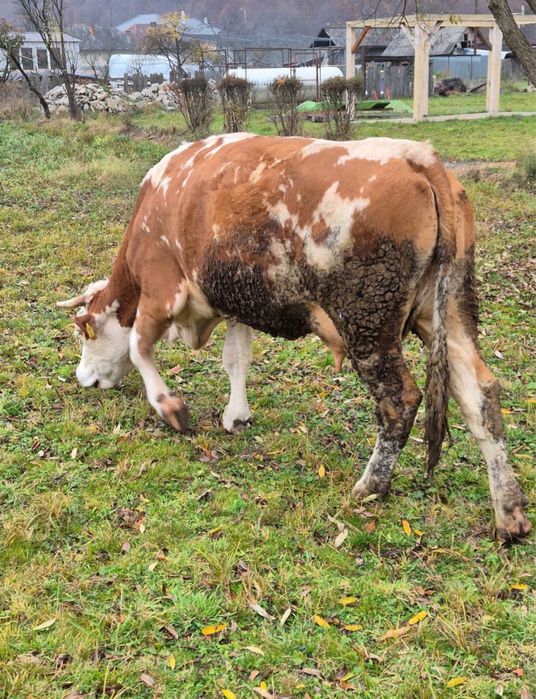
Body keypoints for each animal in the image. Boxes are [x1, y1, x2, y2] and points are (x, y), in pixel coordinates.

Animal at [57, 133, 531, 541]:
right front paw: (237, 415)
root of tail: (418, 156)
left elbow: (138, 348)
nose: (82, 378)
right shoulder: (236, 301)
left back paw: (370, 486)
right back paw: (509, 514)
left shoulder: (161, 289)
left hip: (367, 320)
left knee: (399, 400)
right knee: (481, 395)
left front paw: (171, 409)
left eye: (84, 333)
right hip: (447, 309)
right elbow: (236, 358)